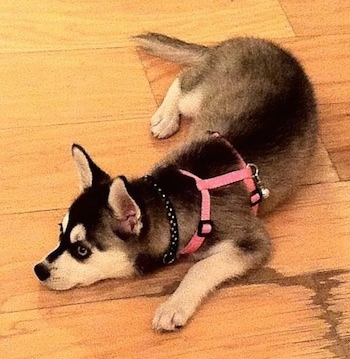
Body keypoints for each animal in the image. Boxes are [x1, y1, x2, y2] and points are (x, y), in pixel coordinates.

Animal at [34, 33, 318, 332]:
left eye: (82, 250)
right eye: (60, 232)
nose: (39, 269)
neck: (169, 197)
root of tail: (249, 40)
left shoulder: (253, 242)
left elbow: (200, 267)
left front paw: (174, 306)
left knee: (183, 80)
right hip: (198, 98)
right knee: (182, 82)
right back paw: (166, 117)